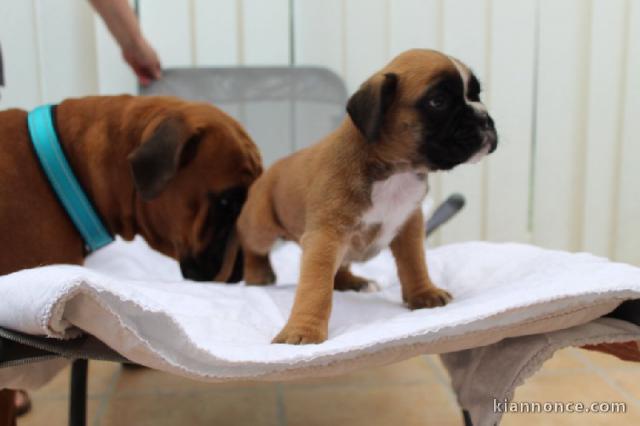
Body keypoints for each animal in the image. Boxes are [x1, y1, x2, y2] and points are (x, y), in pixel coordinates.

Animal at [238, 49, 498, 346]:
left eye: (476, 94)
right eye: (438, 101)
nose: (484, 118)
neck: (394, 169)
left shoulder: (408, 223)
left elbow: (415, 262)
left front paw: (423, 294)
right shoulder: (325, 235)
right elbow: (315, 287)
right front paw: (303, 330)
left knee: (339, 267)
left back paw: (351, 282)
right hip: (263, 224)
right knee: (251, 243)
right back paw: (258, 274)